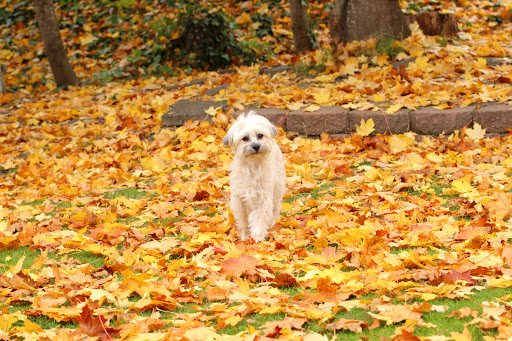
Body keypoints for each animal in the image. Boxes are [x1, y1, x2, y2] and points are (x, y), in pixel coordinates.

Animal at [224, 111, 288, 242]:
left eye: (260, 135)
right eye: (245, 138)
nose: (256, 146)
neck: (252, 165)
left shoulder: (263, 199)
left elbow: (259, 220)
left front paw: (257, 239)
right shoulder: (240, 201)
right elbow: (244, 222)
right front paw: (245, 237)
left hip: (277, 188)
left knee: (276, 207)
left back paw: (274, 222)